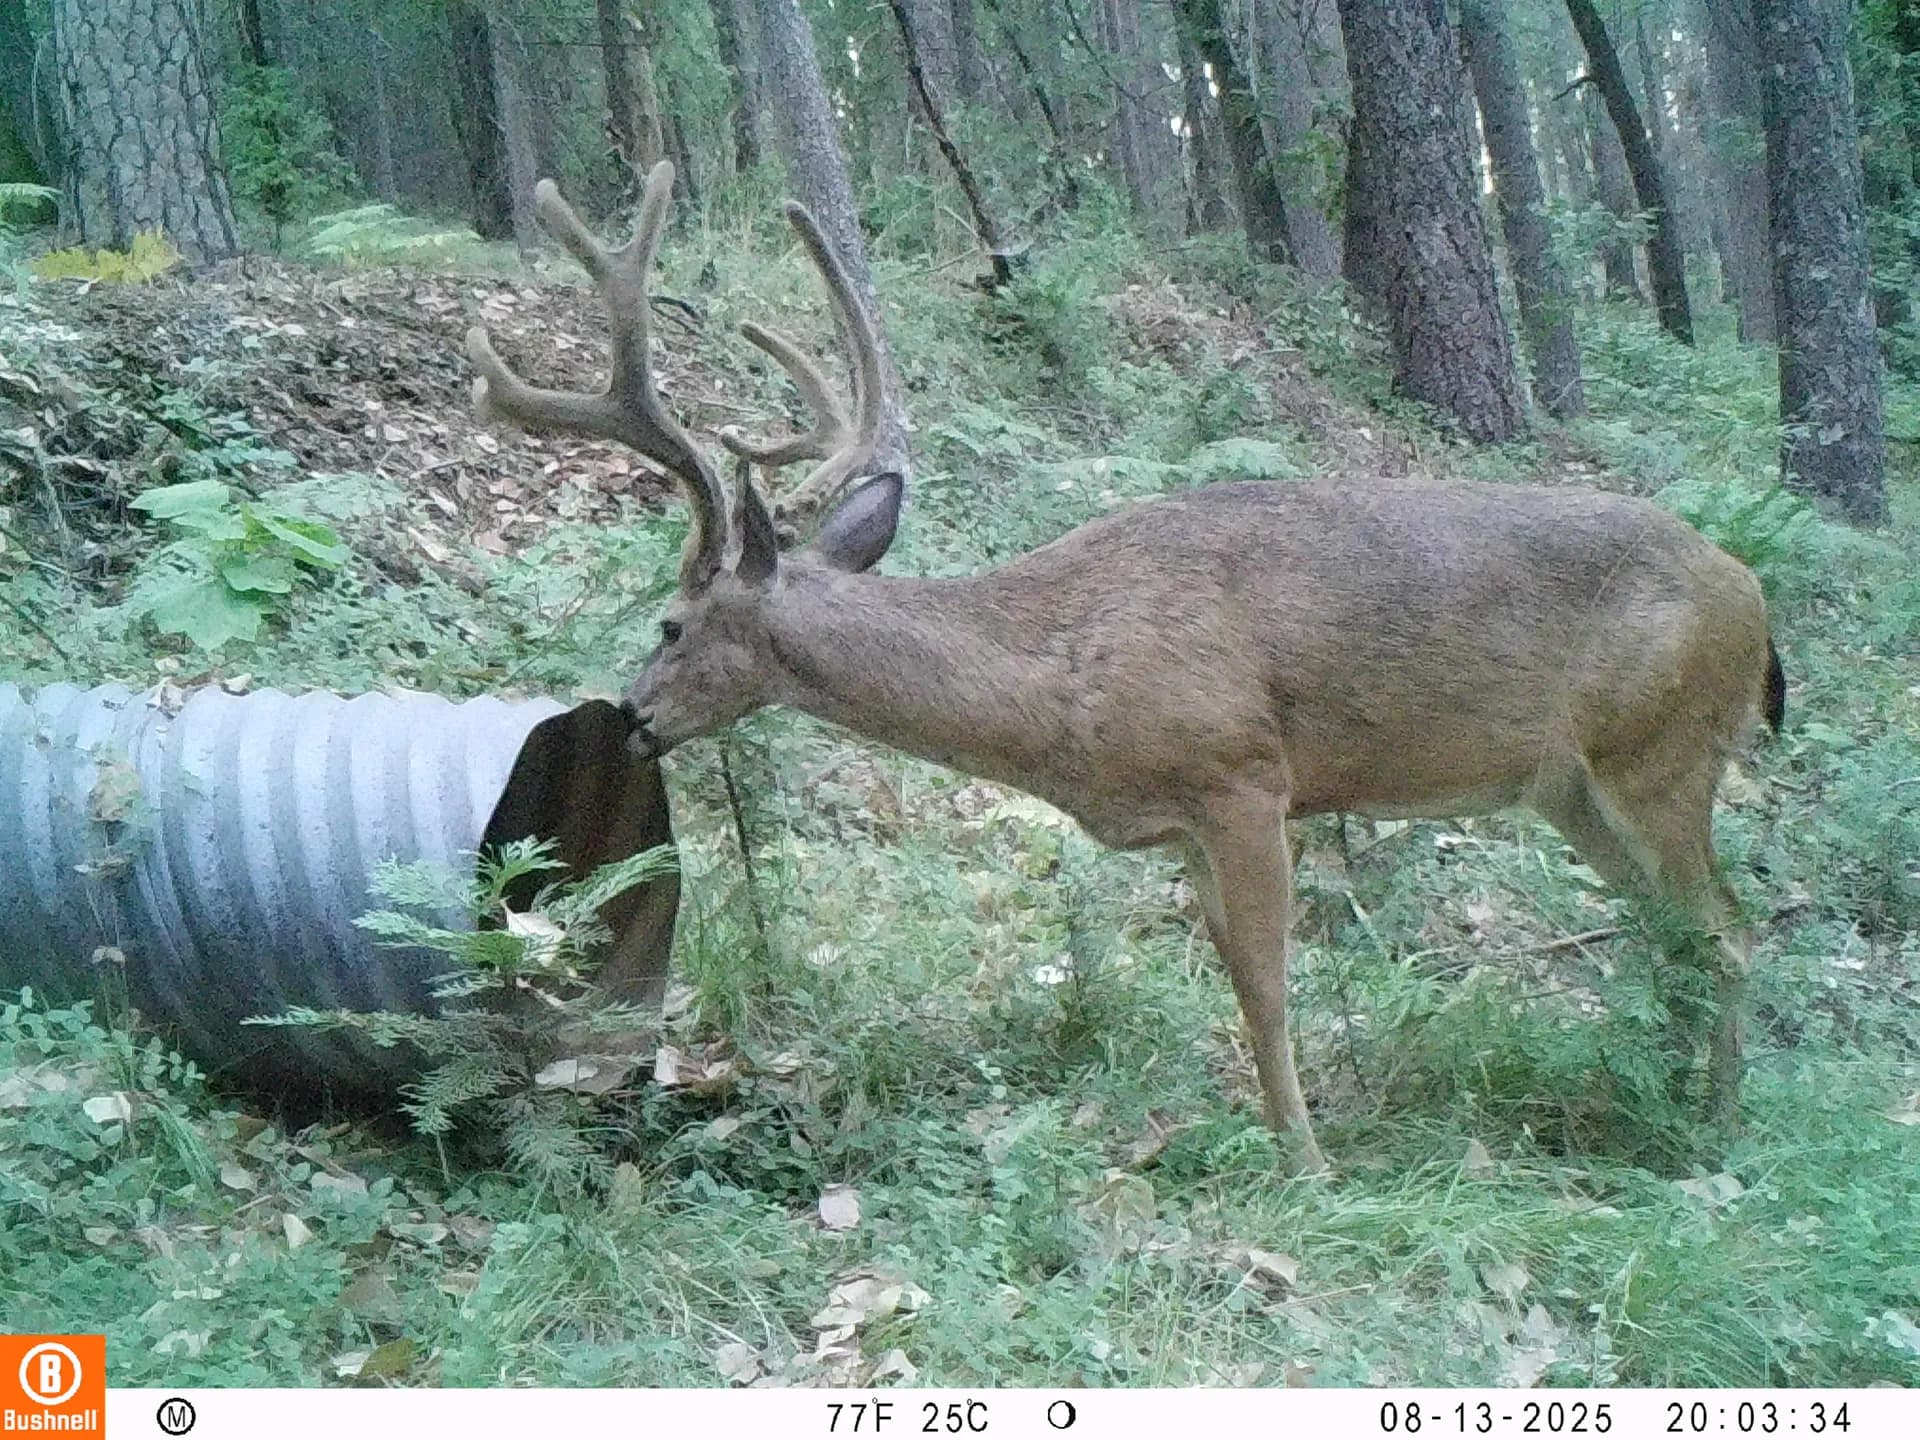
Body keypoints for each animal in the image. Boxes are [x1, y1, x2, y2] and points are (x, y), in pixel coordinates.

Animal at [465, 162, 1781, 1173]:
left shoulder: (1245, 775)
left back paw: (1718, 1127)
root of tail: (1754, 600)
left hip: (1662, 751)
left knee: (1728, 929)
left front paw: (1306, 1161)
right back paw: (1663, 1095)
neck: (1062, 686)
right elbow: (1238, 979)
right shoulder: (1188, 822)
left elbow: (1268, 986)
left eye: (670, 625)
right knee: (1677, 933)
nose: (630, 717)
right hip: (1570, 788)